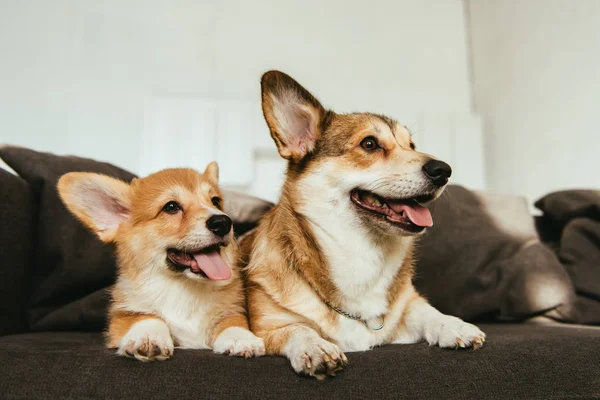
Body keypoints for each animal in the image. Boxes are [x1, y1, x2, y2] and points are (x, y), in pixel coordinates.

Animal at [58, 164, 264, 360]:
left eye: (215, 201)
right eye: (171, 207)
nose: (223, 222)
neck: (183, 288)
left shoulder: (233, 309)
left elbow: (232, 322)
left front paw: (241, 338)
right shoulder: (123, 315)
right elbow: (147, 318)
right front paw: (148, 337)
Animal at [241, 70, 486, 380]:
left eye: (411, 145)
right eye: (369, 144)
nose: (443, 170)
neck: (363, 252)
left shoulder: (408, 306)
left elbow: (428, 312)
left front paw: (454, 325)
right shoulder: (268, 328)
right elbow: (298, 329)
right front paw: (316, 348)